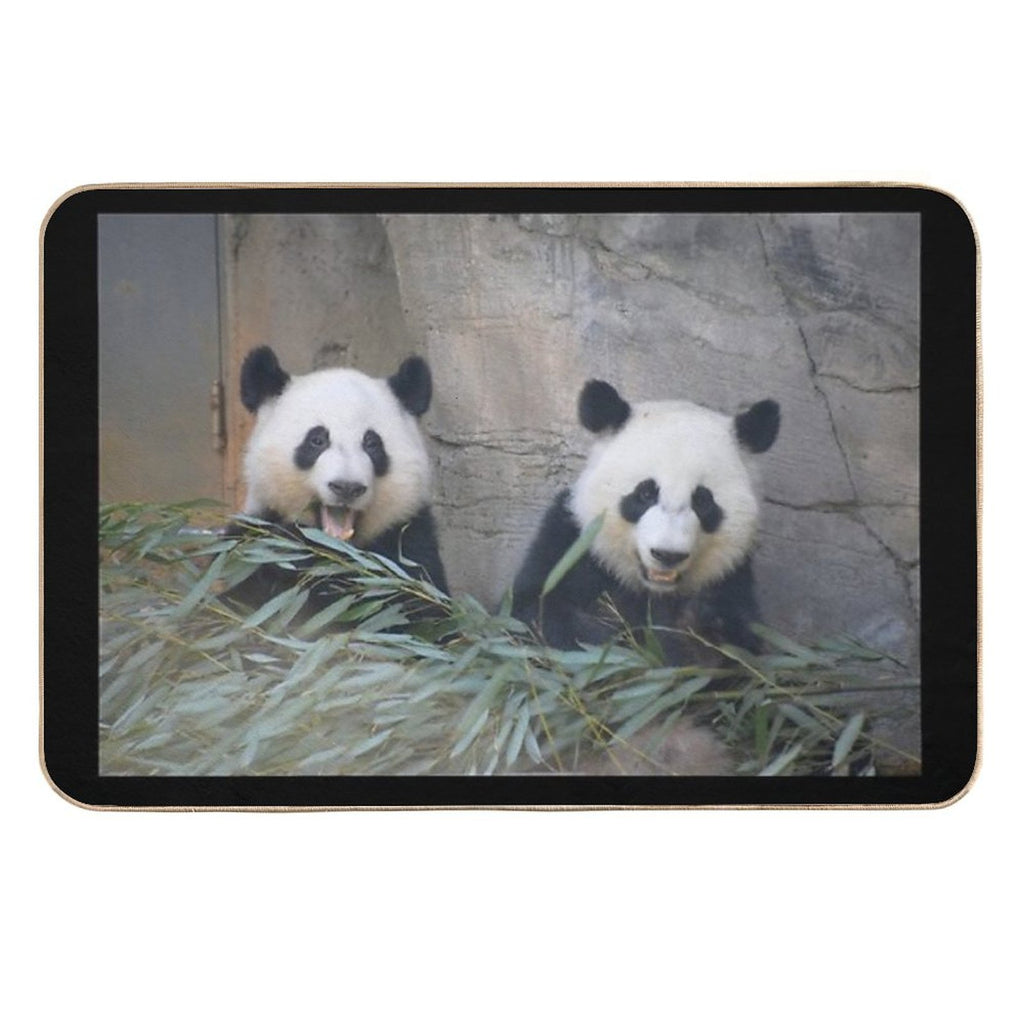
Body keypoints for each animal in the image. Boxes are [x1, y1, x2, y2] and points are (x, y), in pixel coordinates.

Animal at [226, 345, 448, 609]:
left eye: (372, 443)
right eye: (317, 440)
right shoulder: (250, 540)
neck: (334, 550)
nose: (347, 487)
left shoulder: (408, 541)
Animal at [512, 378, 780, 665]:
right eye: (646, 494)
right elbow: (536, 615)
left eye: (702, 501)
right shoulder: (570, 544)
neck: (653, 589)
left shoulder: (732, 576)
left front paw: (697, 632)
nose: (667, 555)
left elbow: (739, 648)